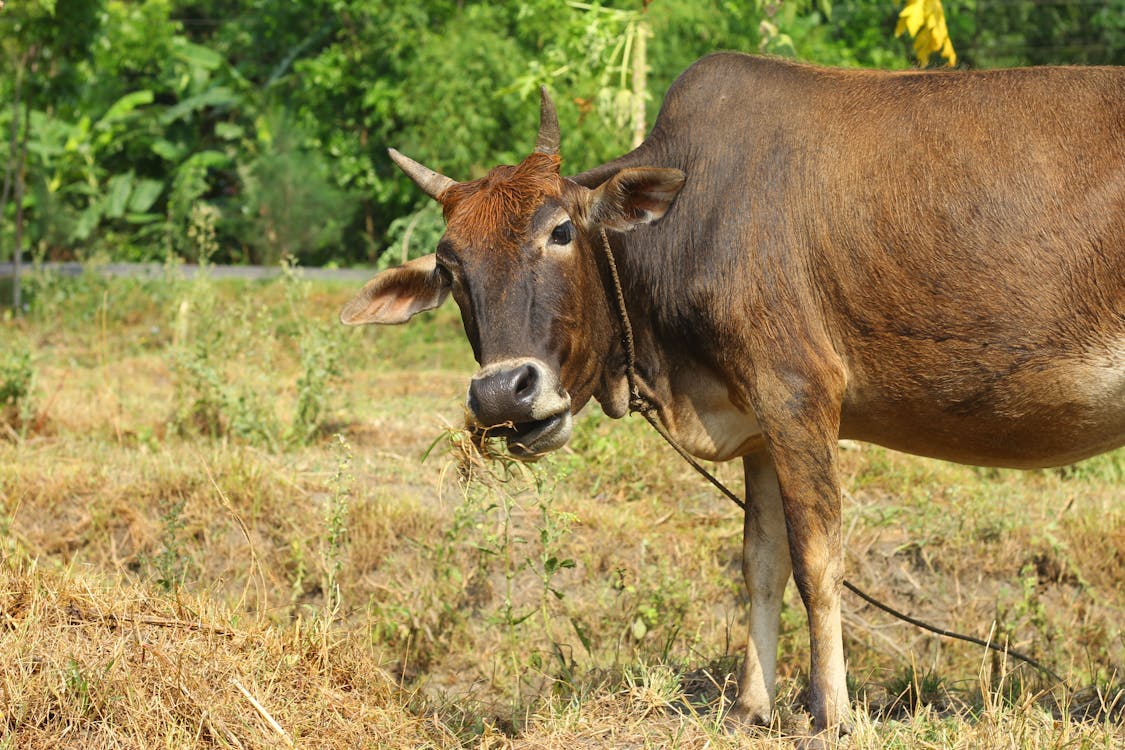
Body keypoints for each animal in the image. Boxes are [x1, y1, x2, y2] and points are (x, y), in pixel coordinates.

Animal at [344, 54, 1125, 737]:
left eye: (560, 230)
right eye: (450, 266)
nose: (503, 393)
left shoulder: (797, 394)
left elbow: (817, 561)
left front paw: (833, 714)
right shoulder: (756, 424)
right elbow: (761, 563)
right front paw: (752, 706)